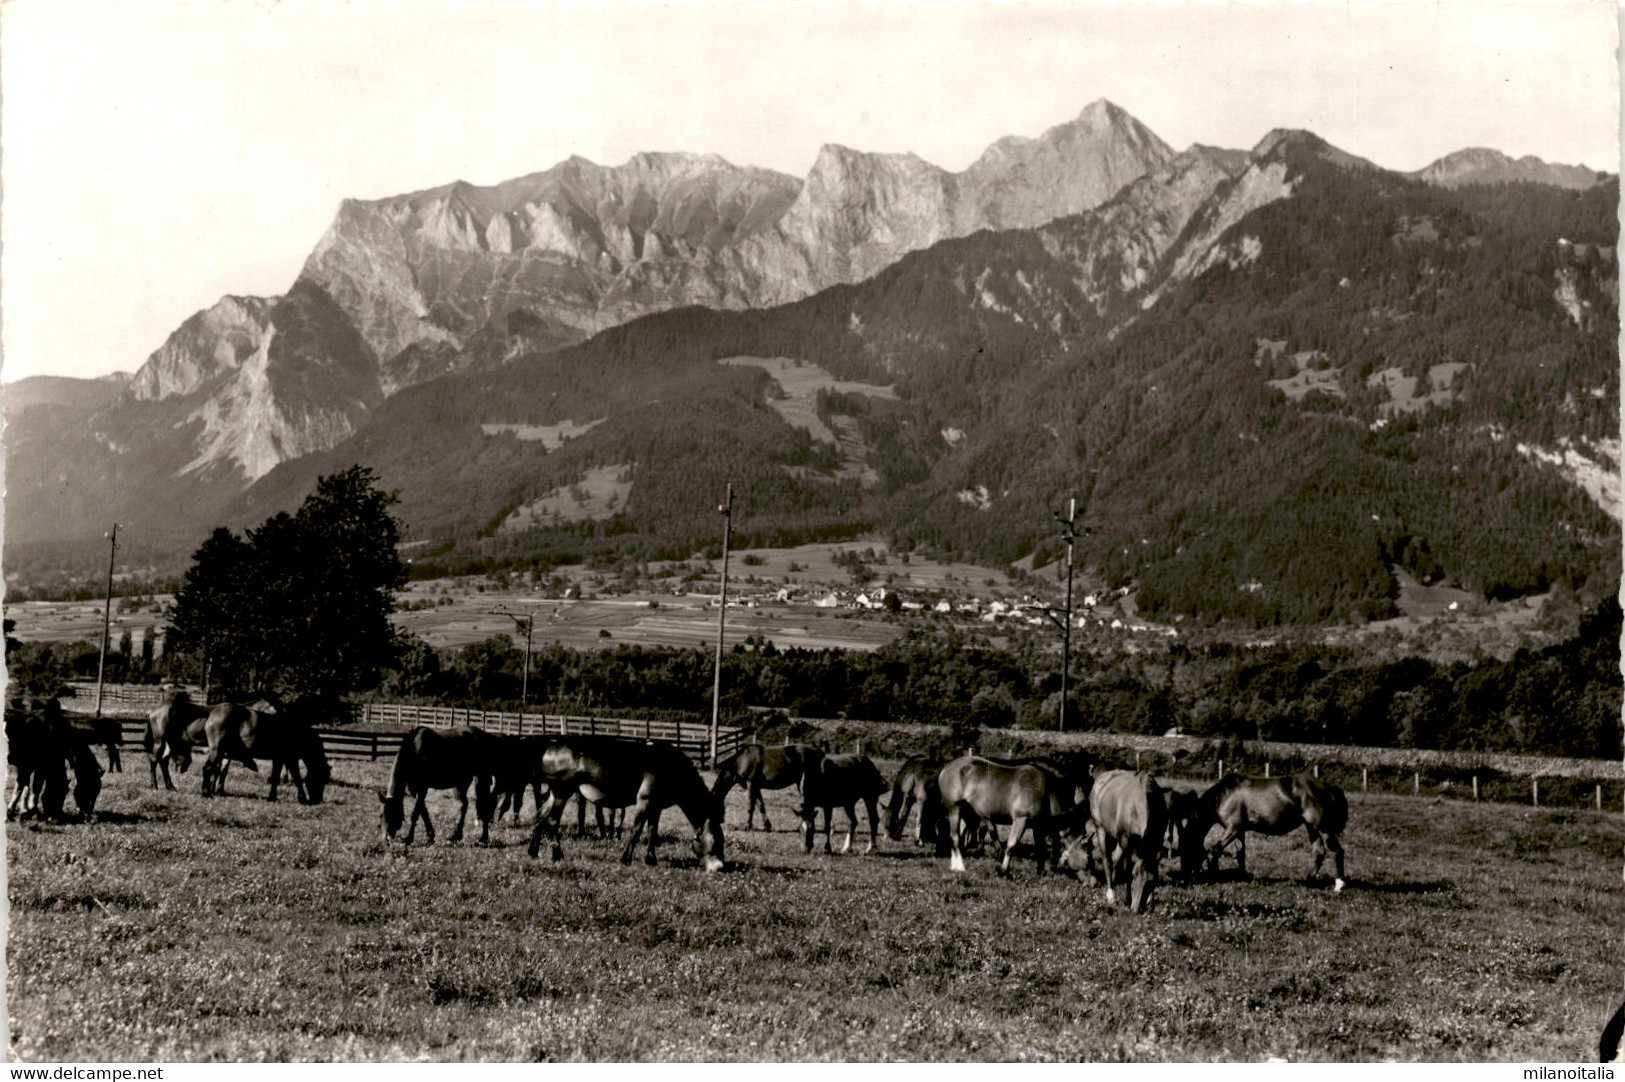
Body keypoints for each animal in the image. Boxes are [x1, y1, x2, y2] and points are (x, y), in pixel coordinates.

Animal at [198, 698, 328, 799]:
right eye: (320, 779)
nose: (317, 800)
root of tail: (215, 710)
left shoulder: (279, 759)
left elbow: (276, 777)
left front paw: (272, 797)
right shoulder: (290, 759)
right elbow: (297, 778)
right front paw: (302, 798)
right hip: (217, 750)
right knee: (208, 768)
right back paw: (206, 793)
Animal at [526, 734, 724, 870]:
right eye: (717, 841)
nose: (720, 867)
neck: (672, 767)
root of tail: (550, 747)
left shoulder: (656, 806)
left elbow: (652, 831)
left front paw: (651, 860)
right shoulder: (645, 800)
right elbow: (637, 830)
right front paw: (625, 859)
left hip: (554, 793)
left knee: (540, 817)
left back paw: (533, 851)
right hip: (562, 791)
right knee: (552, 820)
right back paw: (557, 854)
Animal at [936, 753, 1072, 870]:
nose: (1057, 866)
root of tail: (946, 769)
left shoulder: (1038, 826)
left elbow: (1040, 847)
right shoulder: (1021, 819)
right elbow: (1011, 844)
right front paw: (1003, 869)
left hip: (966, 813)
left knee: (961, 835)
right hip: (955, 809)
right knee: (955, 837)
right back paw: (959, 865)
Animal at [1066, 766, 1170, 909]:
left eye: (1150, 882)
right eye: (1134, 876)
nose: (1136, 909)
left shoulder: (1157, 839)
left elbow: (1153, 867)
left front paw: (1150, 900)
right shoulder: (1126, 839)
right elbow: (1127, 870)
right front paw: (1127, 898)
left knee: (1115, 859)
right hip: (1102, 829)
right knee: (1107, 860)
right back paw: (1111, 895)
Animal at [1202, 770, 1352, 890]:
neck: (1227, 794)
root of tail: (1328, 787)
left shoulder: (1233, 828)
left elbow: (1216, 850)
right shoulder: (1239, 831)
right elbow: (1240, 854)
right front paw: (1243, 876)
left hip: (1324, 829)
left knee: (1337, 852)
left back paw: (1339, 885)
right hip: (1312, 828)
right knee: (1319, 853)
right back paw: (1309, 881)